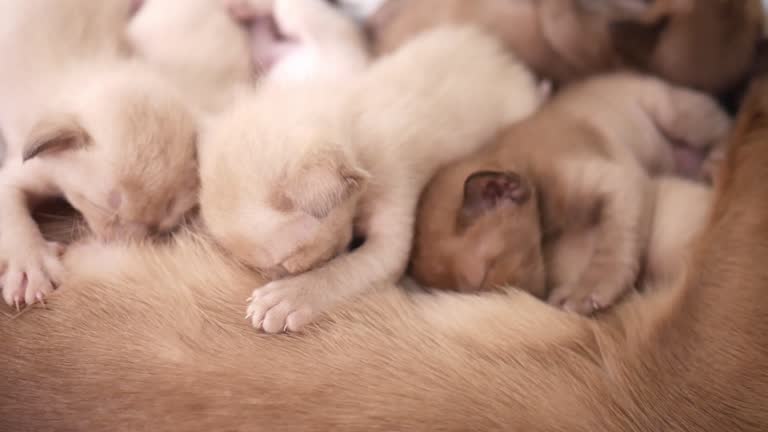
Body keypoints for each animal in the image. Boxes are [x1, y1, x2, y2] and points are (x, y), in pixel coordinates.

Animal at [201, 27, 544, 334]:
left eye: (292, 263)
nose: (287, 277)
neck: (354, 129)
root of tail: (510, 62)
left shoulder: (390, 232)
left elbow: (342, 271)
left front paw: (288, 297)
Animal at [412, 71, 728, 314]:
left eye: (483, 277)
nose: (522, 302)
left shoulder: (620, 181)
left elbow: (612, 248)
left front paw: (588, 291)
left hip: (673, 113)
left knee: (723, 126)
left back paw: (717, 161)